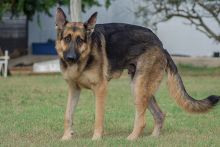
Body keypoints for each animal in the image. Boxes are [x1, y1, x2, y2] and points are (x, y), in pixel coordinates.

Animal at [55, 7, 218, 140]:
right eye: (67, 38)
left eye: (80, 40)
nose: (70, 58)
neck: (84, 58)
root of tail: (161, 46)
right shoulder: (74, 90)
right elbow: (67, 115)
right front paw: (66, 137)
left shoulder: (100, 89)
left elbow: (98, 117)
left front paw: (96, 139)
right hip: (140, 87)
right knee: (159, 115)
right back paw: (153, 138)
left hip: (138, 88)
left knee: (142, 120)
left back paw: (132, 138)